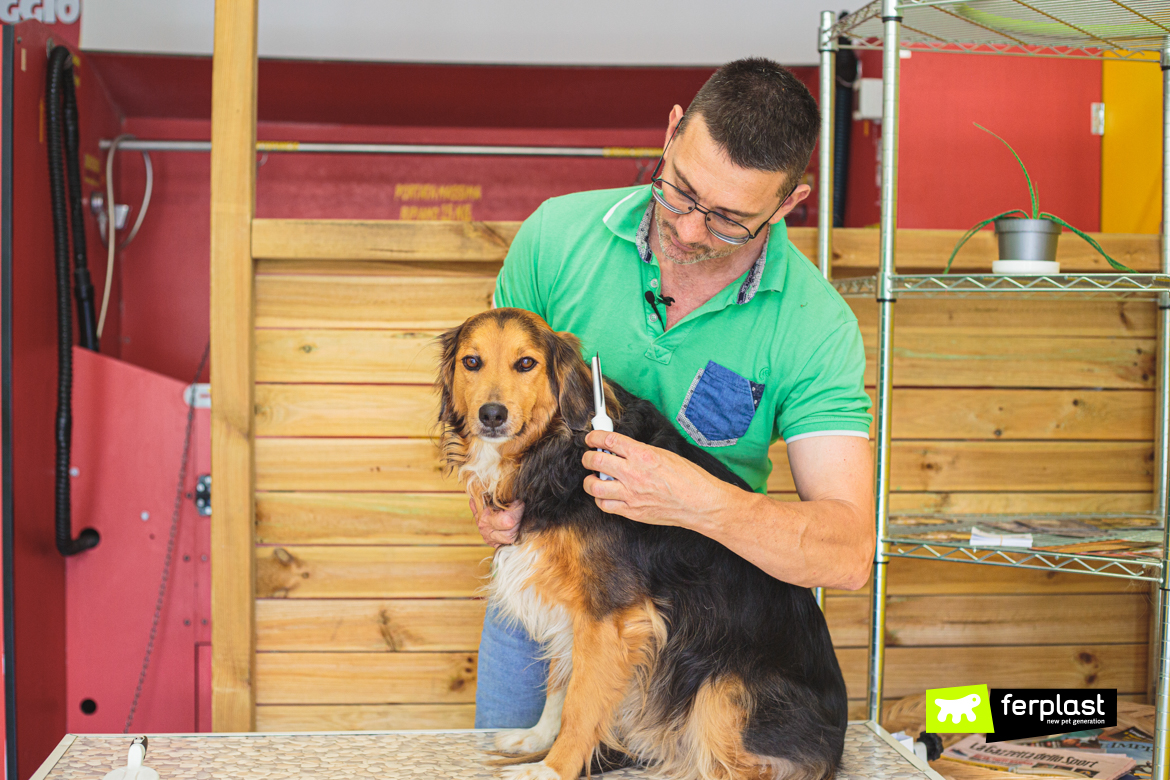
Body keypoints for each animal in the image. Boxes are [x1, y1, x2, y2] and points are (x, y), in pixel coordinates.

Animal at [435, 308, 847, 780]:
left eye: (526, 364)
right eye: (471, 362)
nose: (492, 415)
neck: (559, 451)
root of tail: (835, 747)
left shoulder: (609, 614)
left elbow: (581, 702)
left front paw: (553, 767)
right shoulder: (575, 604)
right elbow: (560, 680)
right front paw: (538, 738)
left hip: (722, 687)